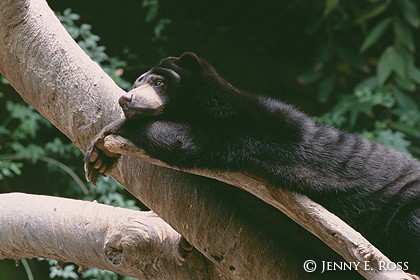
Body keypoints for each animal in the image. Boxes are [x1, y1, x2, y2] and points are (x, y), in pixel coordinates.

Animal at [84, 51, 420, 274]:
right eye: (135, 83)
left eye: (158, 82)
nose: (126, 99)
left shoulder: (260, 126)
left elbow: (190, 142)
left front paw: (107, 137)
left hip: (408, 209)